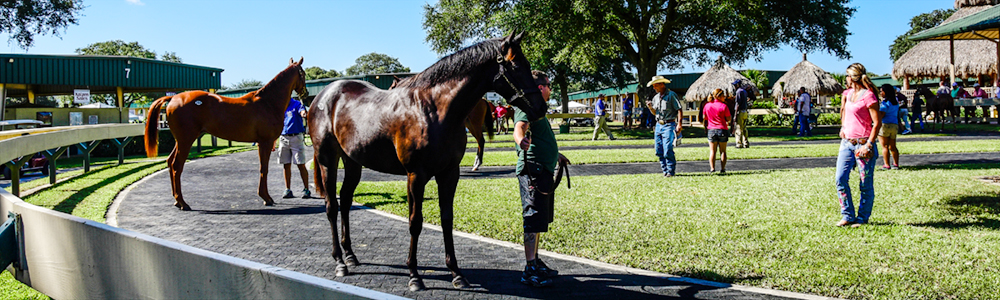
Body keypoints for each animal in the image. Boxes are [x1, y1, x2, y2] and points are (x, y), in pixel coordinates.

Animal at [146, 57, 308, 210]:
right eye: (303, 74)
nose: (305, 94)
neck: (268, 102)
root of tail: (173, 98)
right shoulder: (265, 142)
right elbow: (264, 168)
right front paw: (266, 198)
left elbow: (263, 168)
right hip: (186, 140)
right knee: (176, 165)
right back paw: (182, 202)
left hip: (180, 140)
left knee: (169, 161)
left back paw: (176, 201)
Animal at [308, 32, 548, 290]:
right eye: (516, 66)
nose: (541, 107)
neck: (433, 110)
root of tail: (324, 95)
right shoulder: (416, 175)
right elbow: (415, 222)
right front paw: (414, 275)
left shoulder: (449, 173)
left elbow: (447, 219)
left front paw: (456, 272)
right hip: (327, 160)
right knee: (331, 206)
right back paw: (339, 261)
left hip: (353, 162)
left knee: (345, 201)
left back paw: (351, 255)